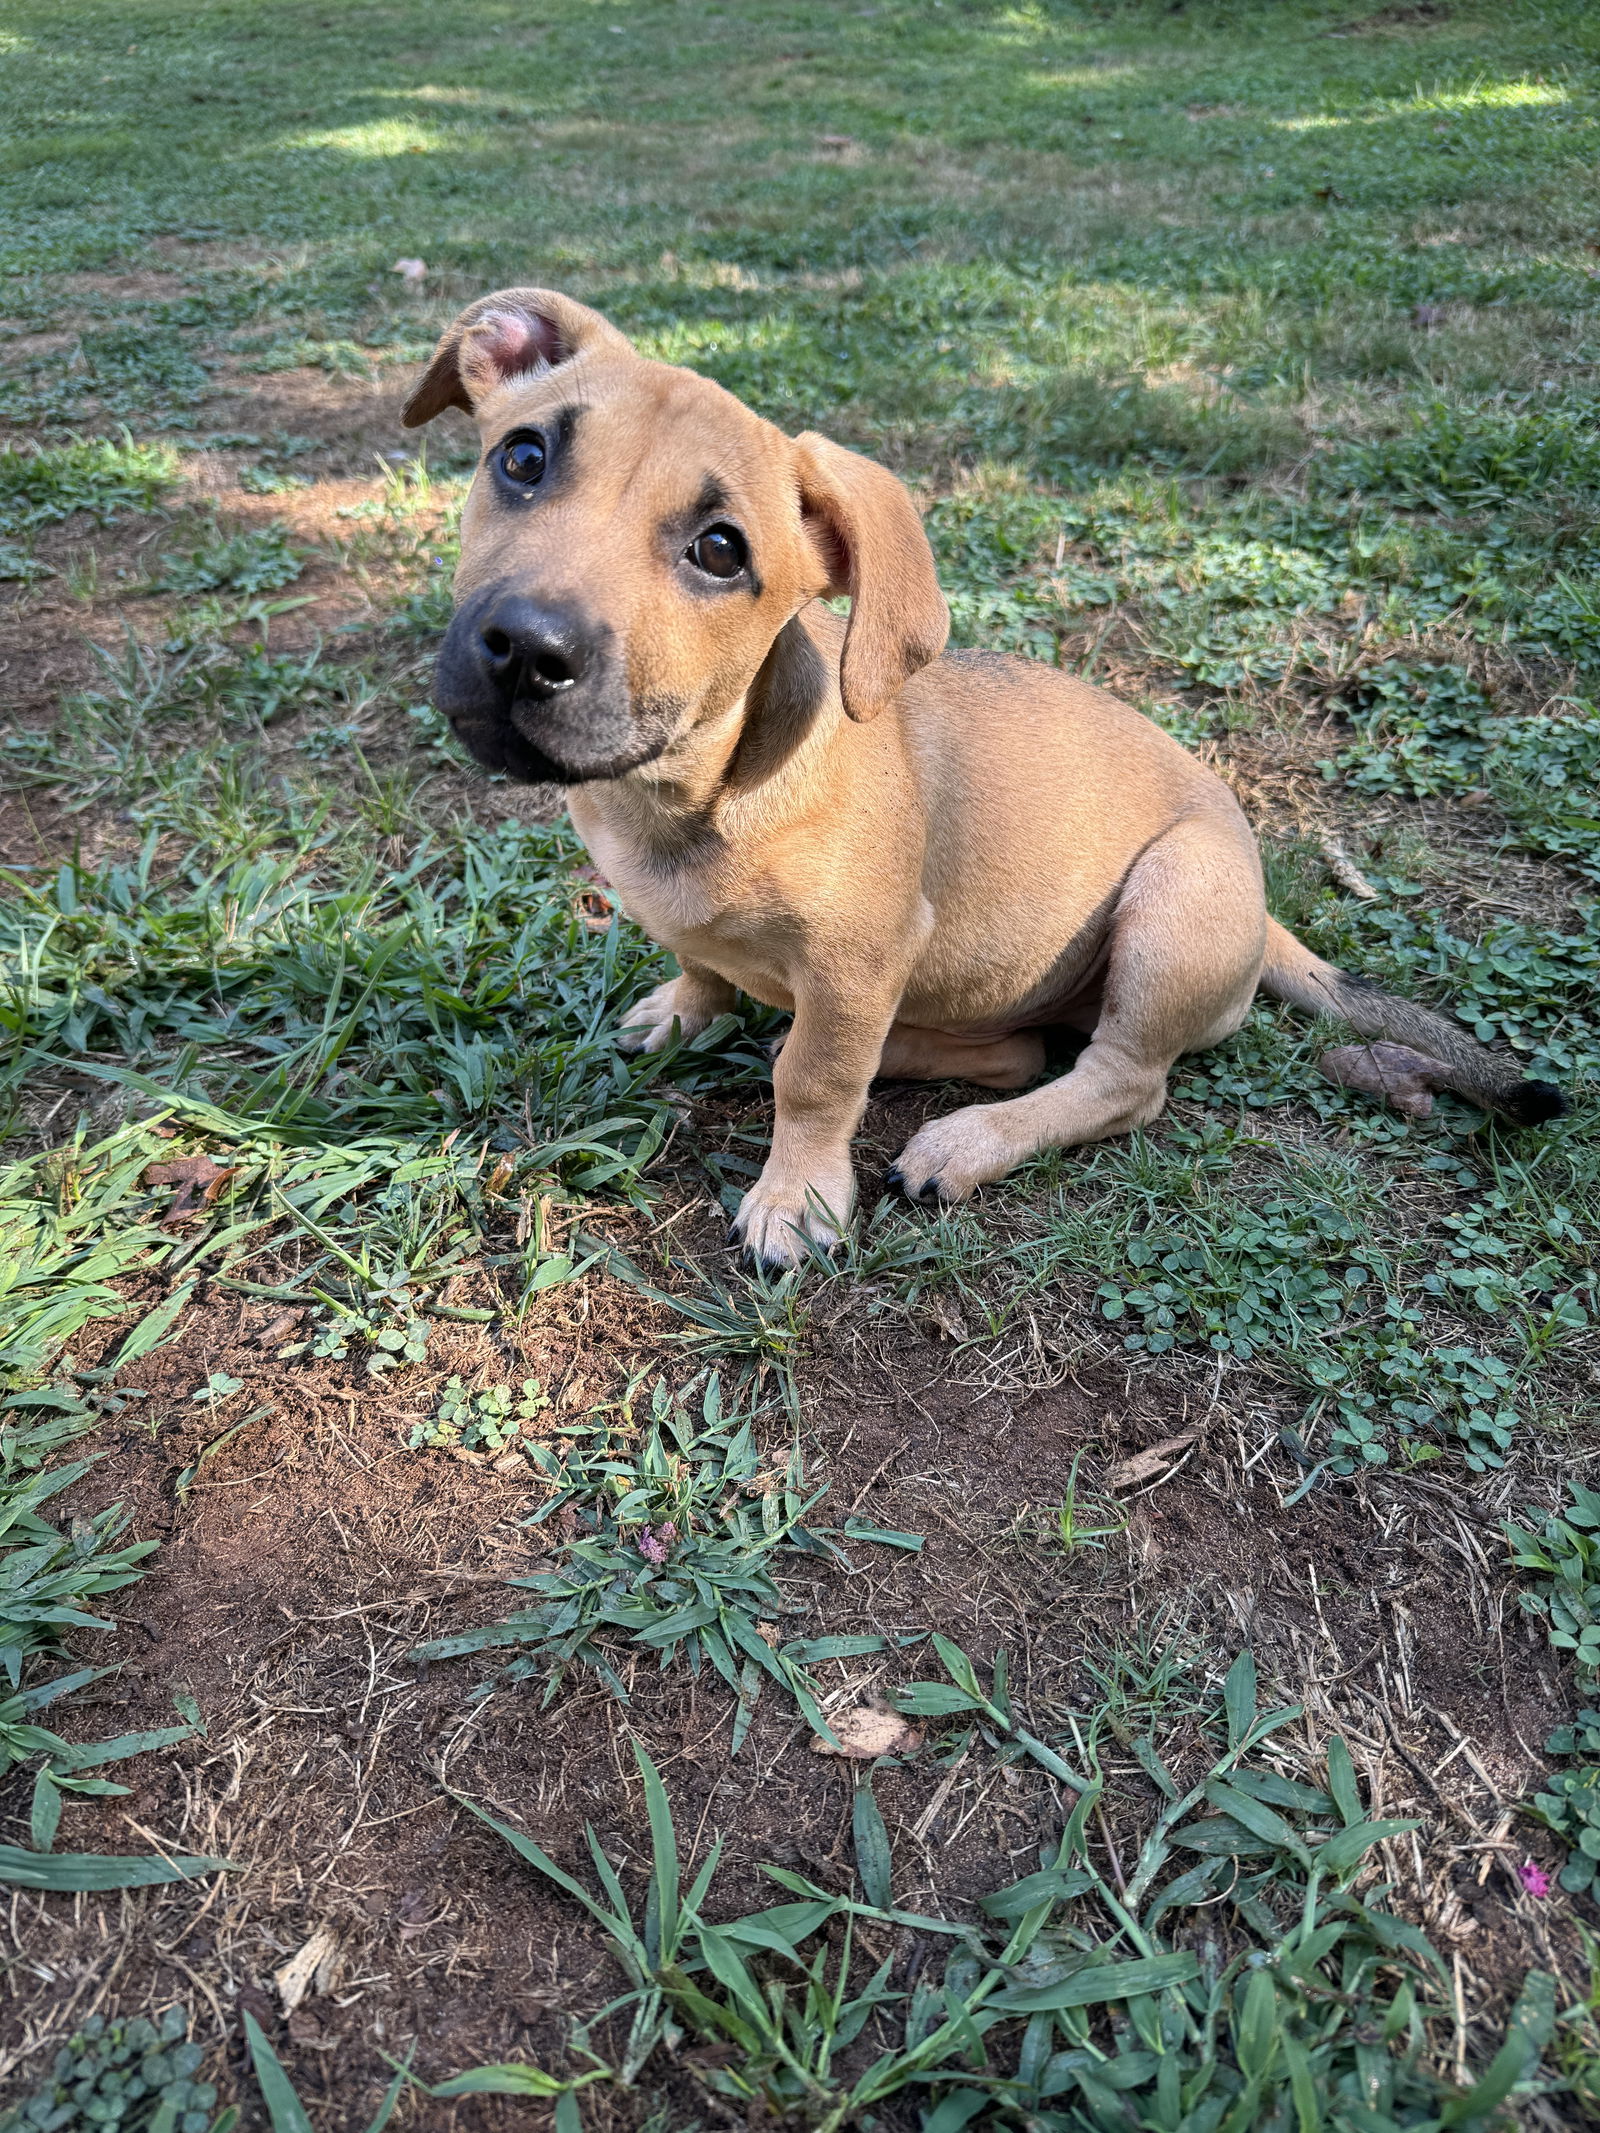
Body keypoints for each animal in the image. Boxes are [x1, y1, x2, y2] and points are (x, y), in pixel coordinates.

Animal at [401, 283, 1570, 1262]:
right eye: (521, 459)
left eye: (722, 552)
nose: (525, 647)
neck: (692, 790)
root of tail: (1262, 912)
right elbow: (711, 968)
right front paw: (690, 1008)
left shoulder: (858, 960)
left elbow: (815, 1077)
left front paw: (797, 1195)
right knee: (1010, 1050)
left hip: (1172, 902)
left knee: (1116, 1082)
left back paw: (966, 1140)